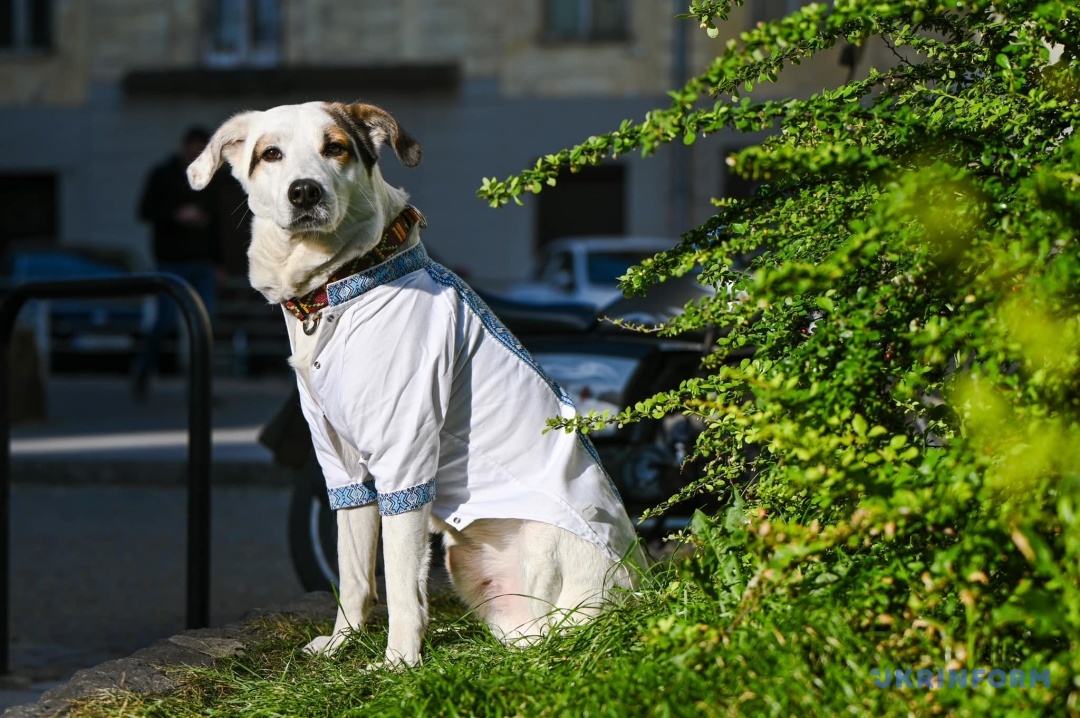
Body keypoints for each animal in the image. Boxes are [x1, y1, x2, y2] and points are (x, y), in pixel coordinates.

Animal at [186, 98, 643, 665]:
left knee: (545, 634)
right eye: (270, 154)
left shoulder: (404, 456)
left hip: (544, 551)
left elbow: (402, 582)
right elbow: (355, 573)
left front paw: (399, 662)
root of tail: (639, 596)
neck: (344, 285)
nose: (305, 192)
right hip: (465, 561)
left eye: (335, 147)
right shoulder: (341, 464)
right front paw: (343, 643)